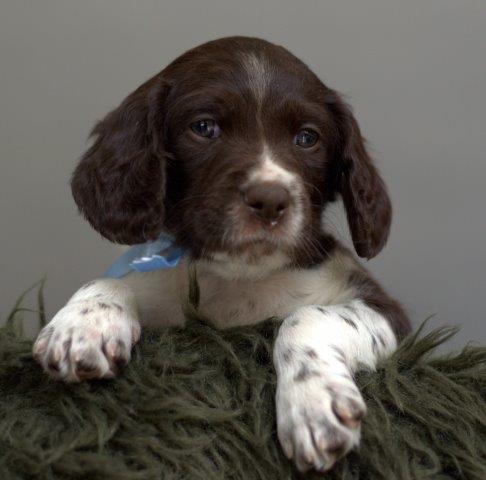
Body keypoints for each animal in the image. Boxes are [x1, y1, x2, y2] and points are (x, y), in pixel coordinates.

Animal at [33, 36, 410, 473]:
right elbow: (113, 279)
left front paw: (313, 404)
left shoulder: (385, 311)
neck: (239, 278)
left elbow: (305, 316)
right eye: (204, 128)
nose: (270, 200)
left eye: (307, 137)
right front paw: (83, 324)